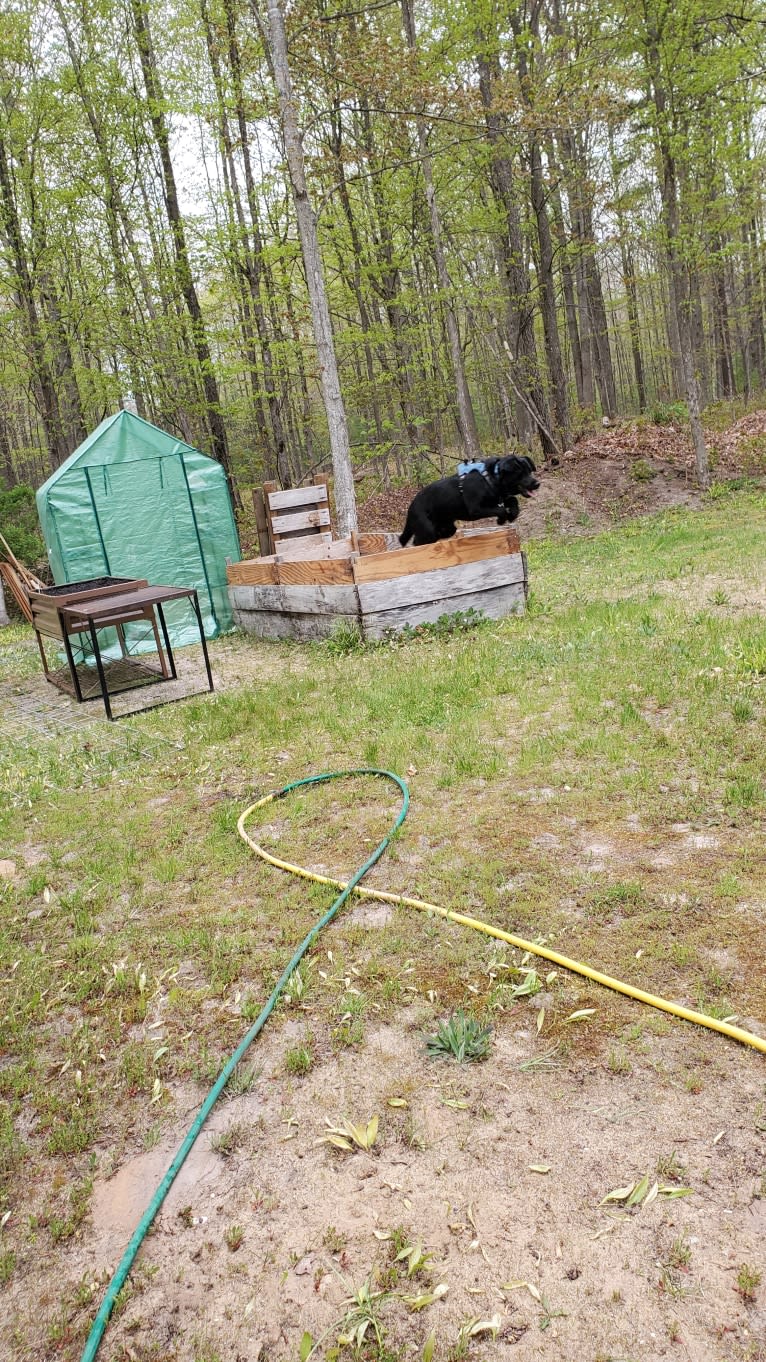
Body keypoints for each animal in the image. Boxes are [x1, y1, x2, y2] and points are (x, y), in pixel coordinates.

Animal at [400, 454, 537, 544]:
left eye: (529, 471)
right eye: (520, 474)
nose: (537, 483)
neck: (489, 479)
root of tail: (410, 508)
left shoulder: (498, 498)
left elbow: (513, 500)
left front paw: (513, 514)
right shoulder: (475, 509)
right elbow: (501, 510)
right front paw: (502, 519)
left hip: (447, 527)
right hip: (427, 530)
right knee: (417, 543)